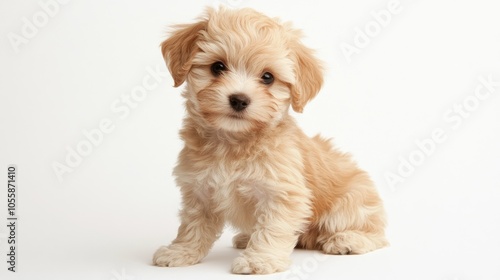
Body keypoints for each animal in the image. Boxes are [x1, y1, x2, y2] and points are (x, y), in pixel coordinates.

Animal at [154, 7, 388, 276]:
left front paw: (258, 260)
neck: (233, 143)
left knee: (375, 235)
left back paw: (347, 240)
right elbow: (192, 227)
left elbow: (272, 229)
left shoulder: (283, 194)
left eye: (267, 77)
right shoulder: (199, 192)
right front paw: (180, 251)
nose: (239, 99)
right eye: (217, 67)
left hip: (350, 204)